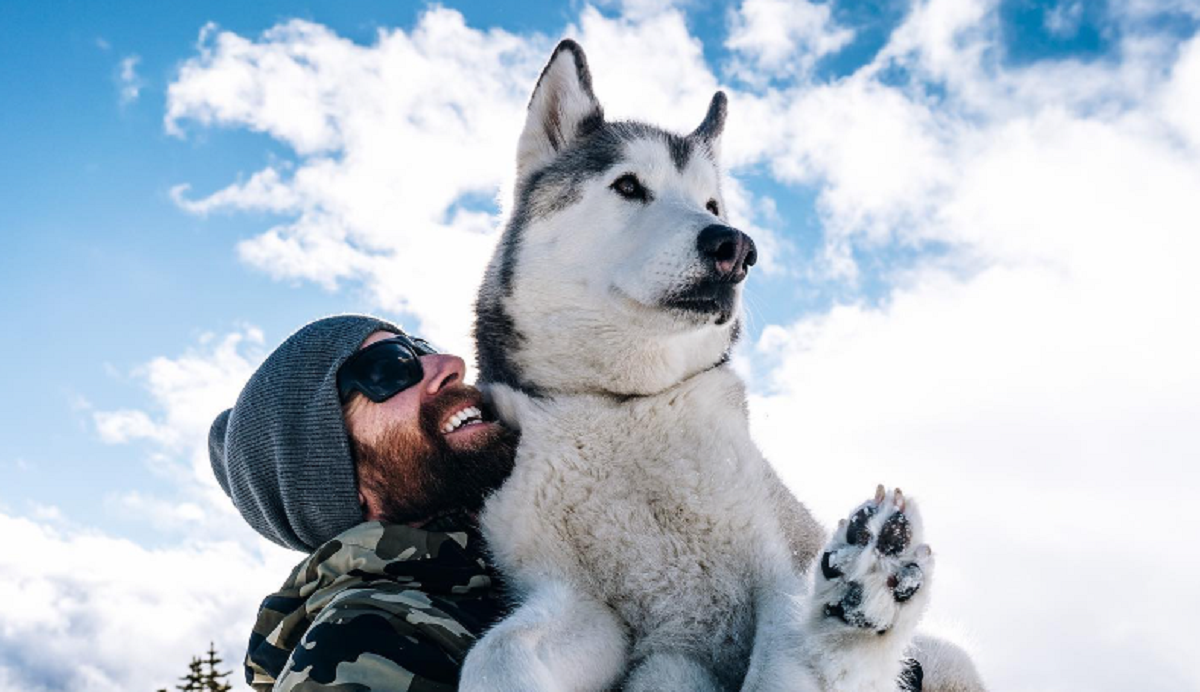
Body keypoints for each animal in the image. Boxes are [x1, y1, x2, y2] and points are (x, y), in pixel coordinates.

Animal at [463, 40, 979, 686]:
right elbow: (498, 650)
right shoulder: (587, 607)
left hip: (948, 657)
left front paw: (845, 627)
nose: (735, 247)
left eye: (711, 203)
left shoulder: (777, 570)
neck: (621, 407)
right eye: (627, 185)